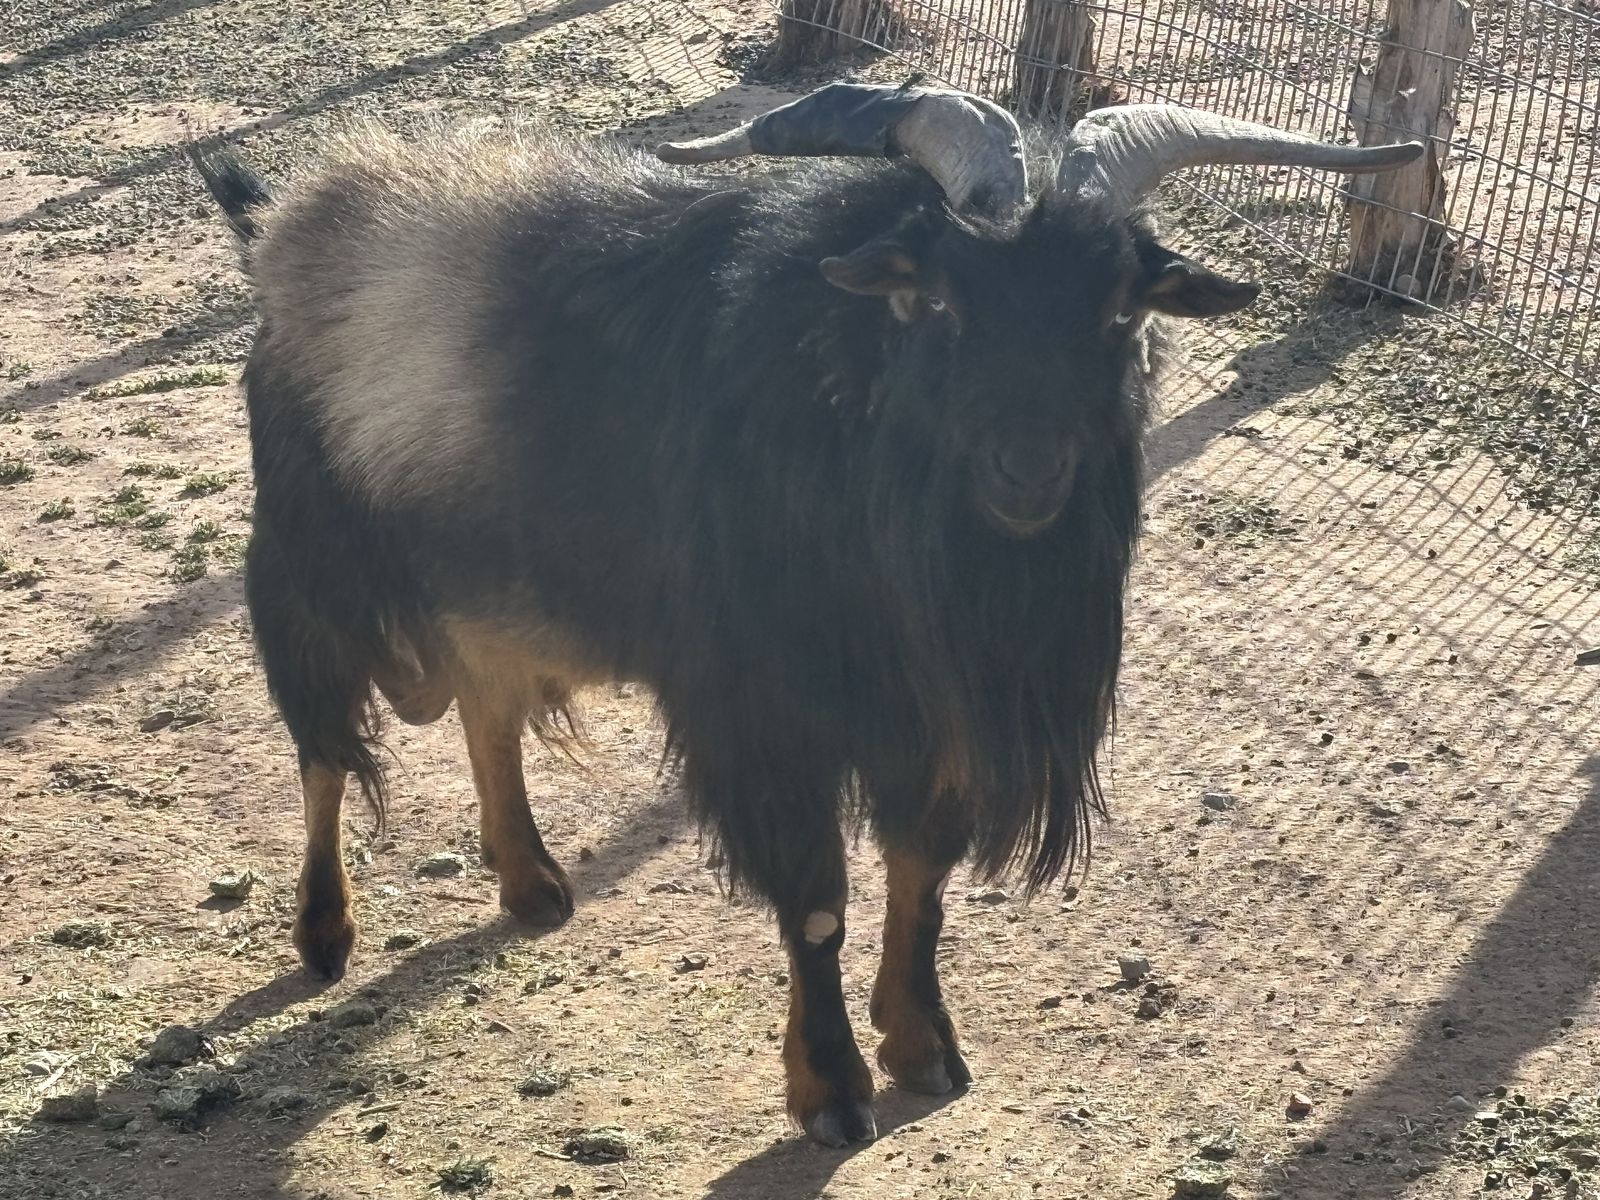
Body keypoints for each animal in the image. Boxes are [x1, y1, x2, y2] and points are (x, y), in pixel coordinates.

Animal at [193, 84, 1419, 1144]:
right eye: (937, 300)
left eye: (1120, 308)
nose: (1027, 472)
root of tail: (286, 224)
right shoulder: (768, 713)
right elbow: (820, 898)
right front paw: (830, 1089)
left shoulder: (928, 724)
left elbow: (922, 878)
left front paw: (924, 1046)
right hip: (306, 565)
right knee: (321, 750)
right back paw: (325, 934)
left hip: (491, 589)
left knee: (486, 715)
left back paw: (532, 884)